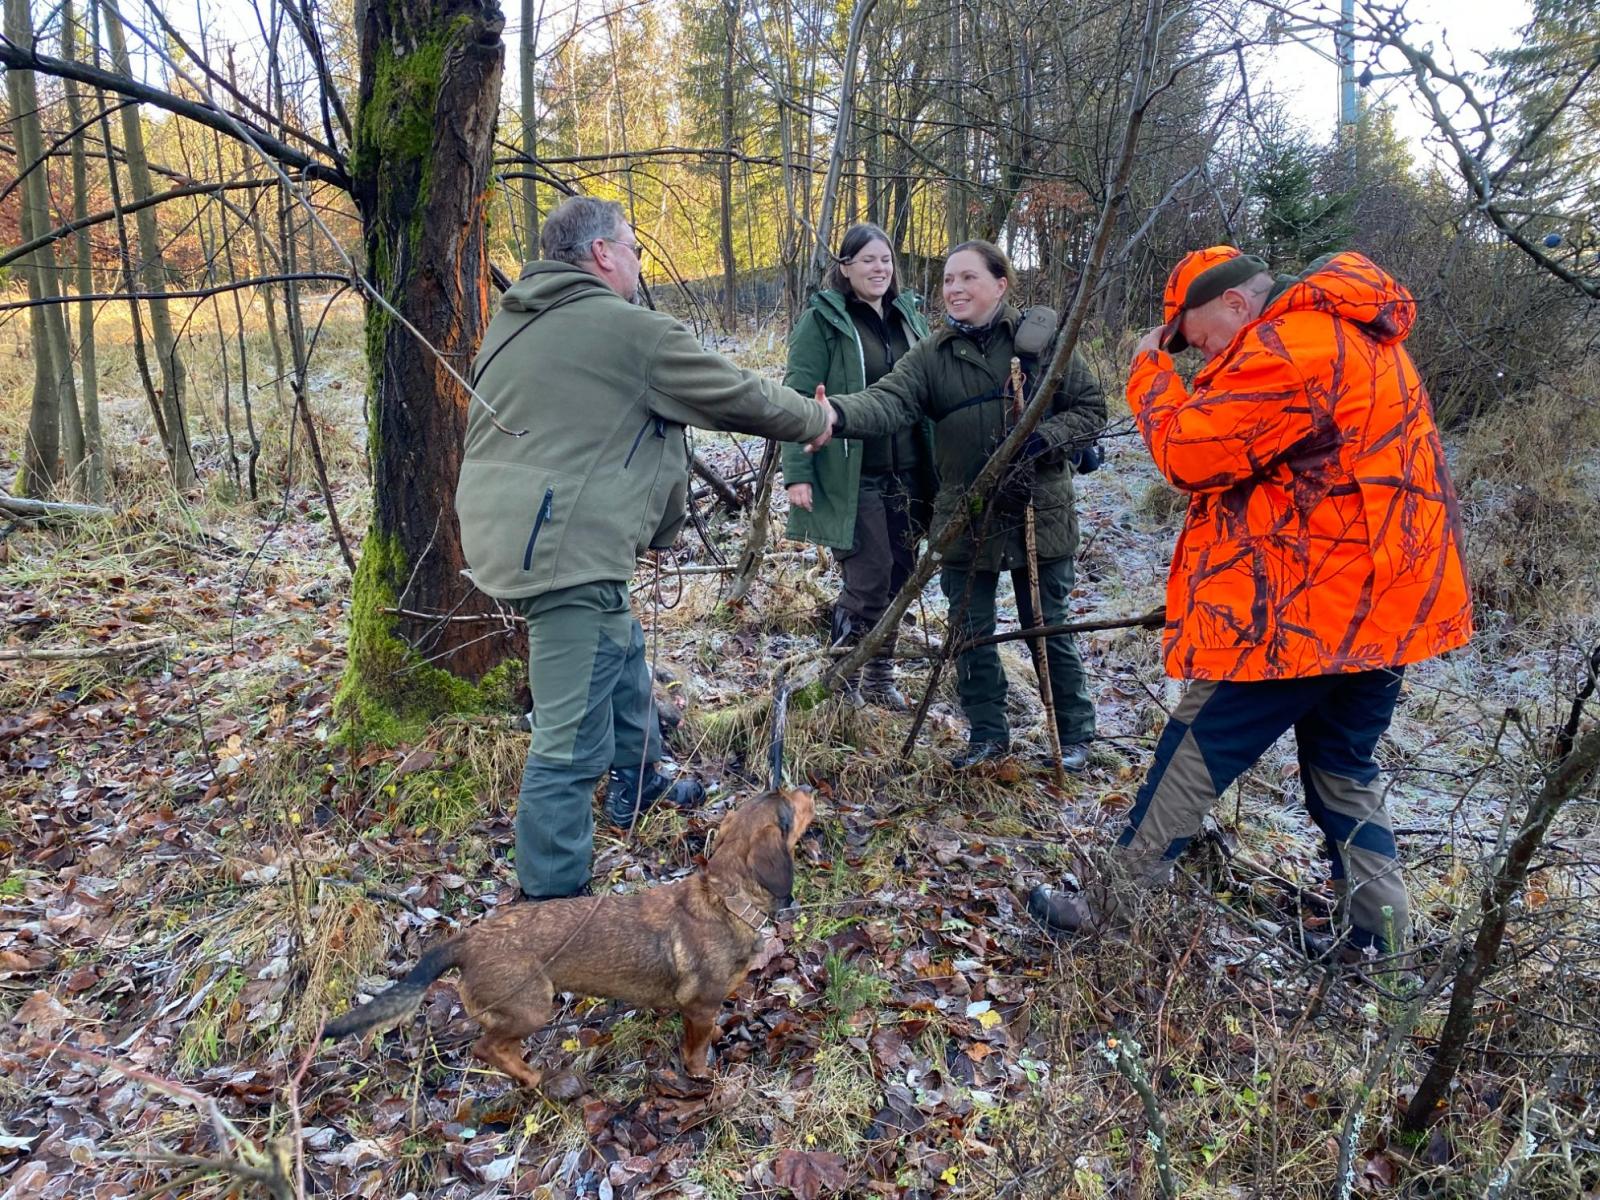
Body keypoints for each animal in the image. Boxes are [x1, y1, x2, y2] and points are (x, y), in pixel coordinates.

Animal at [324, 788, 814, 1089]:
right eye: (789, 802)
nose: (808, 789)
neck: (726, 899)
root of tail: (467, 941)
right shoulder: (701, 1007)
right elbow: (695, 1051)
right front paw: (701, 1077)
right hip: (532, 1007)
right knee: (485, 1047)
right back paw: (529, 1078)